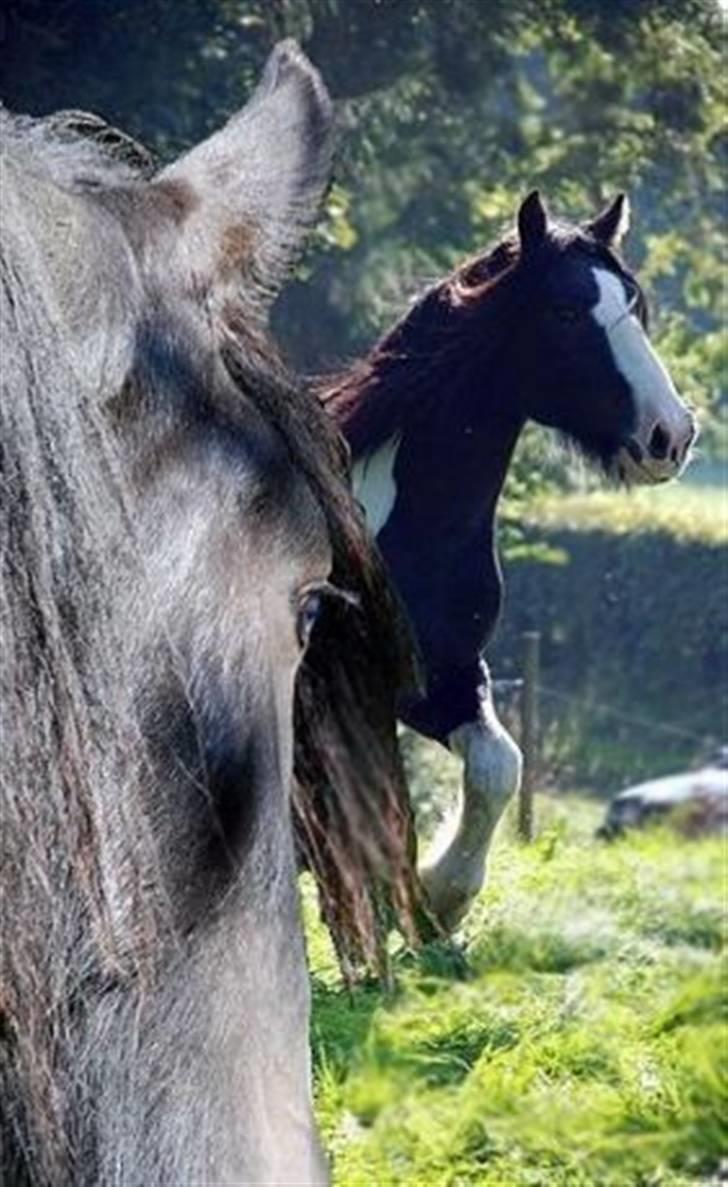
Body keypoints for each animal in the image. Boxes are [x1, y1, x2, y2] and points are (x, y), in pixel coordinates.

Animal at [320, 194, 693, 930]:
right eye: (566, 312)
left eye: (634, 303)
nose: (671, 435)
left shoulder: (446, 677)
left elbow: (499, 765)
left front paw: (440, 897)